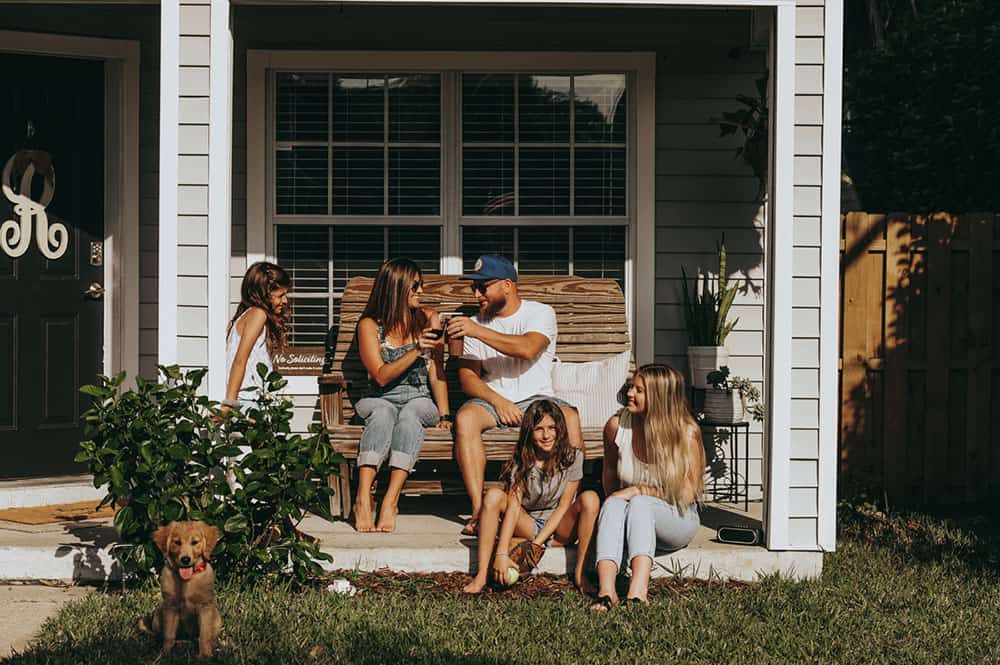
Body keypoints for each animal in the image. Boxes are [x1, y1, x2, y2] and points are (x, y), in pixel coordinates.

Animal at [149, 520, 222, 652]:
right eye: (177, 542)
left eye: (194, 542)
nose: (185, 559)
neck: (187, 579)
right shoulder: (170, 606)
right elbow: (168, 635)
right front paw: (165, 653)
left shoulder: (205, 607)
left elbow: (205, 635)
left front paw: (205, 654)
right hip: (157, 616)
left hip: (217, 616)